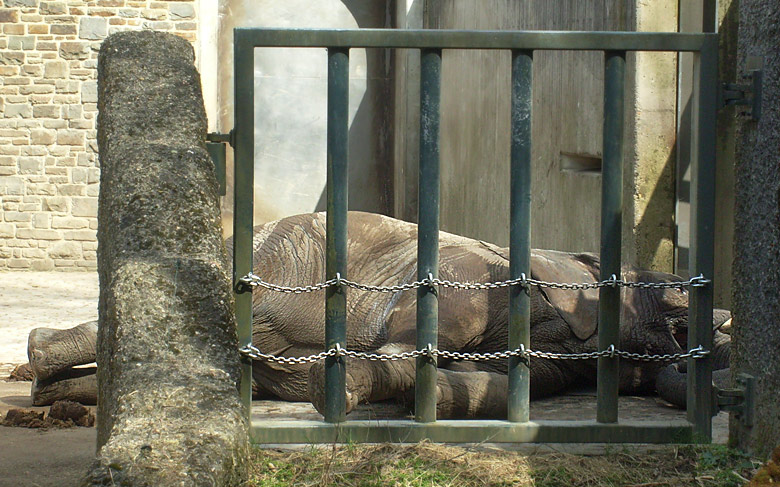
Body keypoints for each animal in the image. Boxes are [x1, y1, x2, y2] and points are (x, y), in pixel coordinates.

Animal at [25, 212, 732, 418]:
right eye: (671, 295)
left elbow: (493, 385)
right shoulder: (475, 275)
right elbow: (427, 329)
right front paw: (350, 375)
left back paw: (52, 393)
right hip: (279, 253)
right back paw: (36, 357)